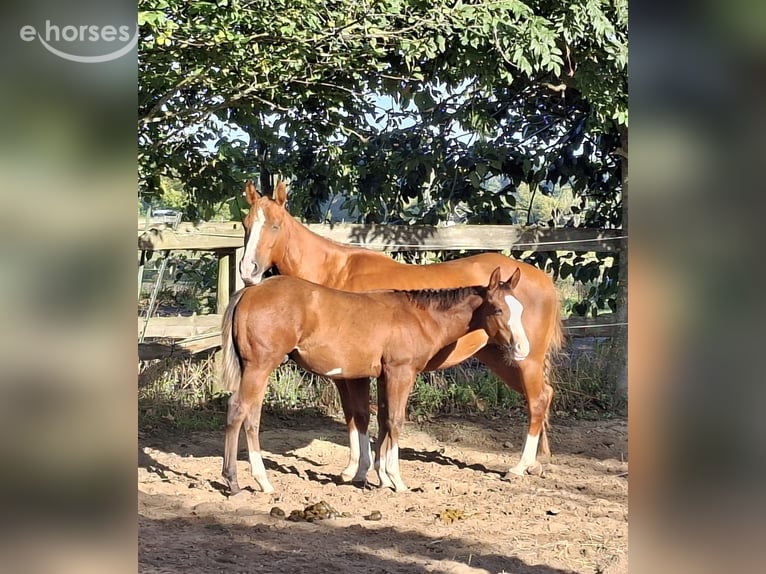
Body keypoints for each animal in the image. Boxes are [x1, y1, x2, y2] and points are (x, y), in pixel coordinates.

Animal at [220, 267, 522, 494]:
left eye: (518, 309)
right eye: (497, 309)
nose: (520, 347)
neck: (418, 317)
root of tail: (249, 291)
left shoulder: (381, 376)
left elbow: (381, 420)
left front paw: (379, 477)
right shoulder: (401, 372)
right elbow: (395, 421)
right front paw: (396, 480)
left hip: (256, 369)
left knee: (251, 416)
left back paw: (261, 481)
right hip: (260, 366)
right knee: (239, 410)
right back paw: (236, 481)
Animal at [238, 180, 564, 479]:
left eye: (276, 226)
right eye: (245, 224)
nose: (248, 270)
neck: (337, 274)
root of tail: (543, 280)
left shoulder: (359, 372)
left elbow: (365, 415)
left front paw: (369, 469)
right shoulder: (352, 371)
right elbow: (357, 416)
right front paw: (359, 469)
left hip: (526, 359)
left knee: (537, 400)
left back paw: (520, 467)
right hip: (501, 356)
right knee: (544, 396)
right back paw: (539, 462)